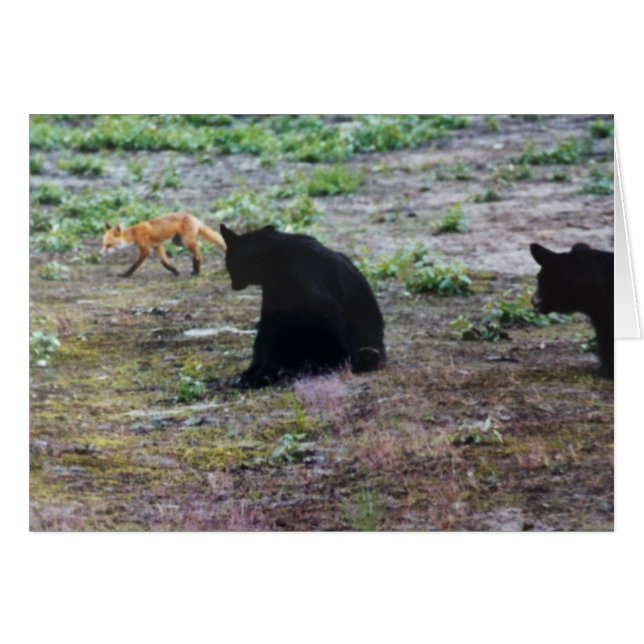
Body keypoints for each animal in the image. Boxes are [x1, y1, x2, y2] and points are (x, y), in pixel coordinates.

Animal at [220, 224, 386, 388]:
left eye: (229, 264)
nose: (233, 284)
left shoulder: (319, 300)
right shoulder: (272, 308)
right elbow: (266, 343)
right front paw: (257, 374)